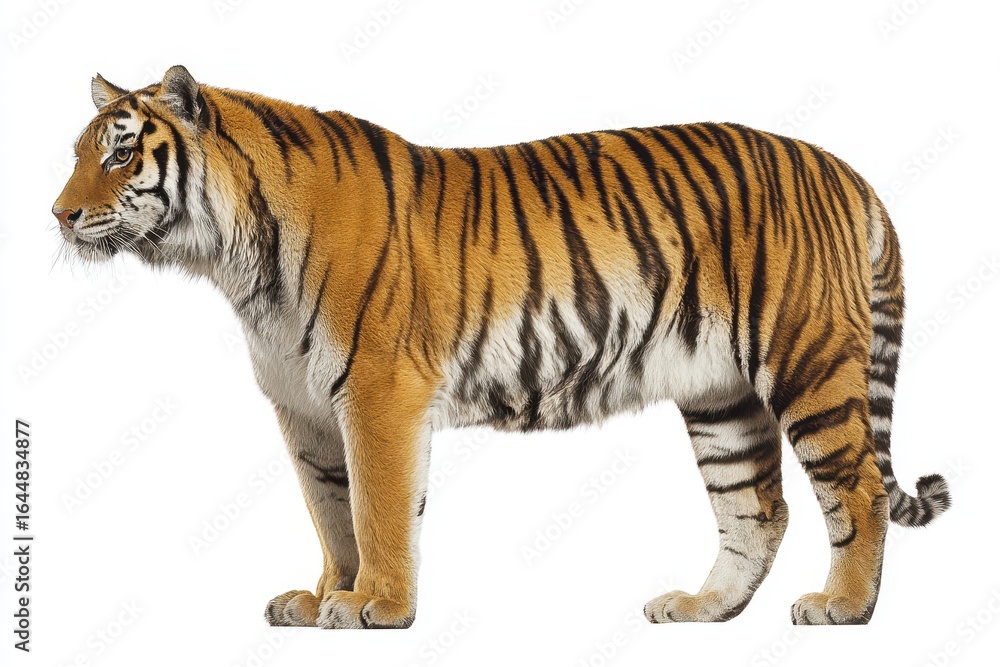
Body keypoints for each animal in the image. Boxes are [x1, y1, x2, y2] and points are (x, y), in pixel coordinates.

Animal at [53, 65, 950, 628]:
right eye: (78, 151)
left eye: (122, 151)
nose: (58, 214)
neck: (234, 259)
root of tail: (843, 168)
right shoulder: (302, 408)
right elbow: (330, 511)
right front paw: (323, 597)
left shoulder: (377, 392)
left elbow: (376, 507)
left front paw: (377, 604)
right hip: (719, 394)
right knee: (758, 508)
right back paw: (702, 609)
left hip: (807, 362)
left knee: (858, 488)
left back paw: (842, 607)